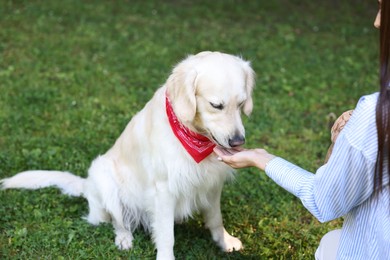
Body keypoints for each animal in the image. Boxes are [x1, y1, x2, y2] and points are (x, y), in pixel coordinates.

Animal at [0, 51, 256, 260]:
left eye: (241, 103)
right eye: (216, 105)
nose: (238, 141)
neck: (193, 136)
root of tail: (86, 185)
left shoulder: (212, 182)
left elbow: (215, 219)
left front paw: (225, 241)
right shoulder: (164, 189)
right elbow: (166, 236)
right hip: (104, 177)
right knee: (118, 221)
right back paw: (124, 239)